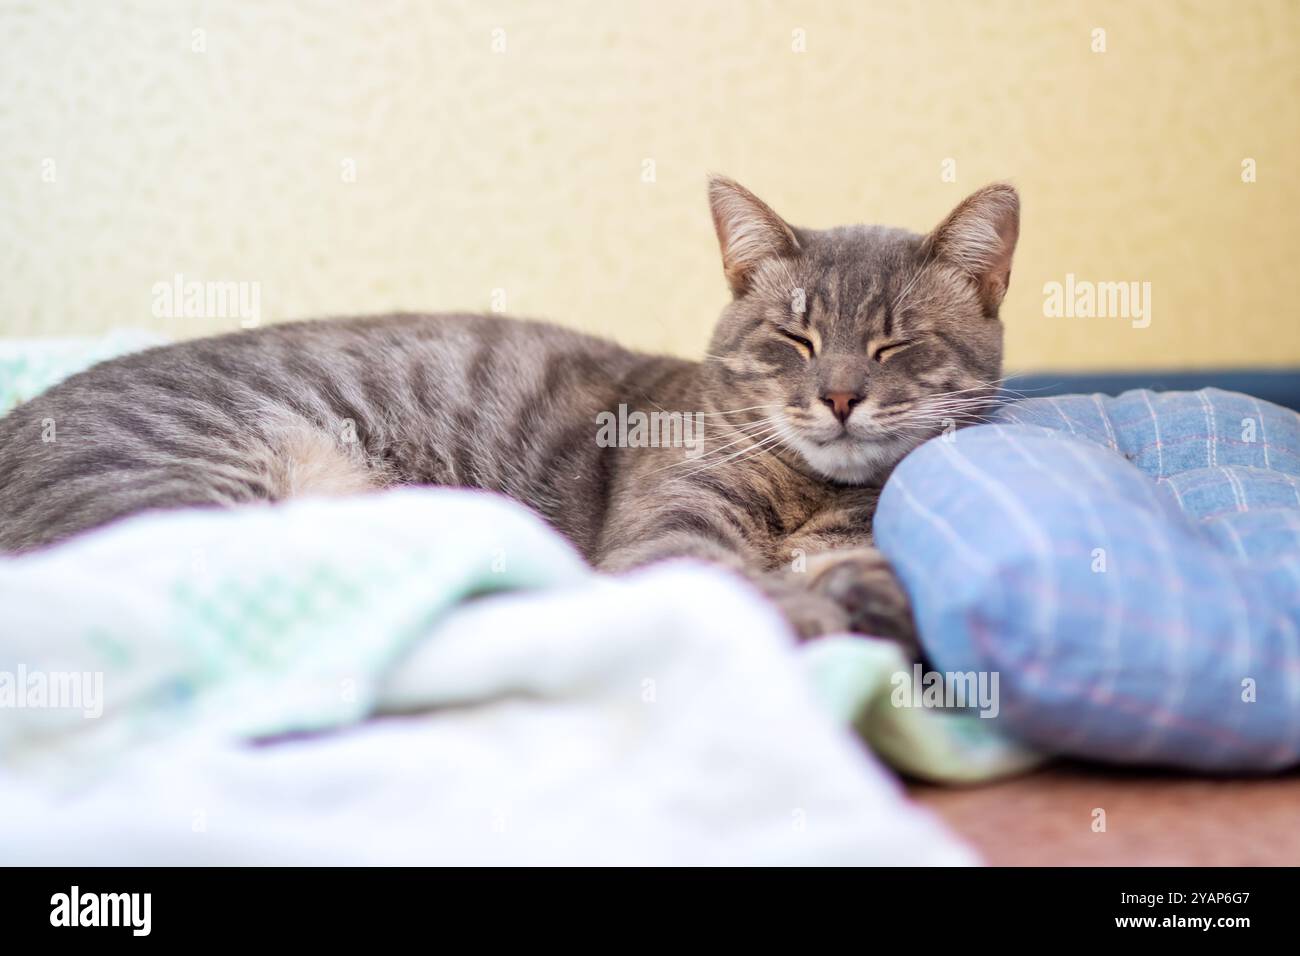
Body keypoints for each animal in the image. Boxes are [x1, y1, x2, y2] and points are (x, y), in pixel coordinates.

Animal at [0, 175, 1013, 647]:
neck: (808, 493)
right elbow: (736, 582)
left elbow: (860, 577)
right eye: (794, 340)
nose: (838, 396)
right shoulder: (667, 540)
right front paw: (820, 614)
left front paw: (874, 605)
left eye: (894, 346)